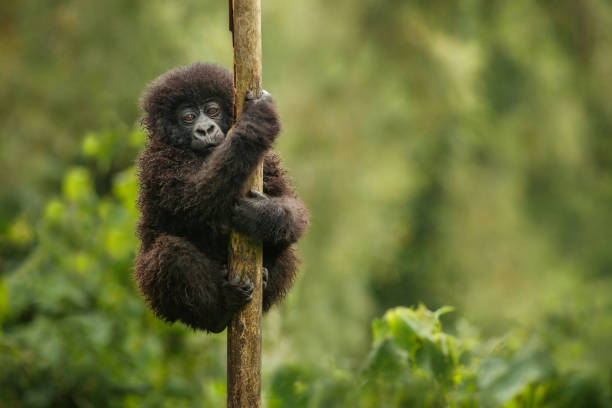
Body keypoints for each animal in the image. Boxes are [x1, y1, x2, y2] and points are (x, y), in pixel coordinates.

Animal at [132, 63, 308, 332]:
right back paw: (221, 309)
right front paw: (256, 120)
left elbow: (293, 207)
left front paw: (262, 216)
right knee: (170, 254)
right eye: (188, 117)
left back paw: (264, 278)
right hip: (156, 295)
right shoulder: (159, 162)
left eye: (212, 110)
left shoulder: (267, 162)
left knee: (287, 247)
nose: (205, 129)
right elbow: (198, 196)